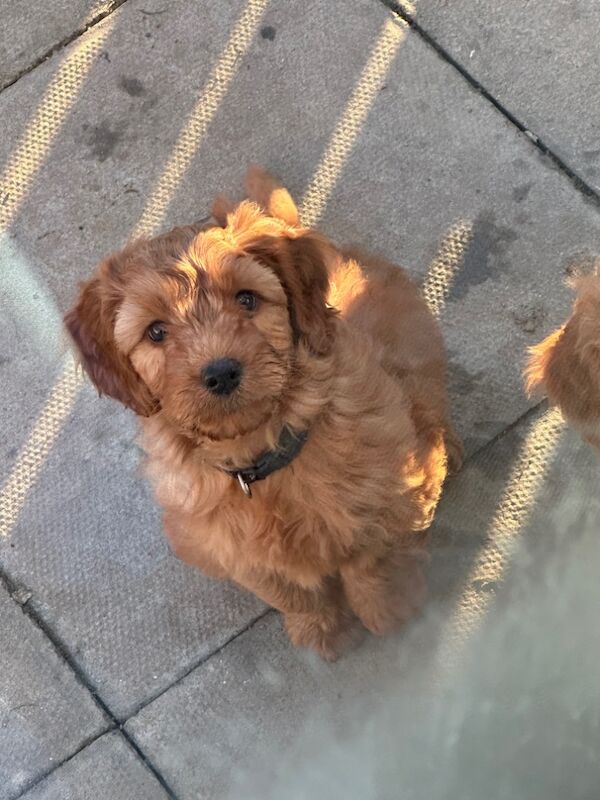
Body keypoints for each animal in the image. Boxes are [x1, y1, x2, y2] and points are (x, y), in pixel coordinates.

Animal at [64, 166, 460, 660]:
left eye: (247, 299)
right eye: (155, 332)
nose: (220, 373)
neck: (265, 459)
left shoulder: (388, 490)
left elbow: (373, 558)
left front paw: (391, 610)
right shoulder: (237, 553)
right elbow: (293, 593)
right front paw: (323, 630)